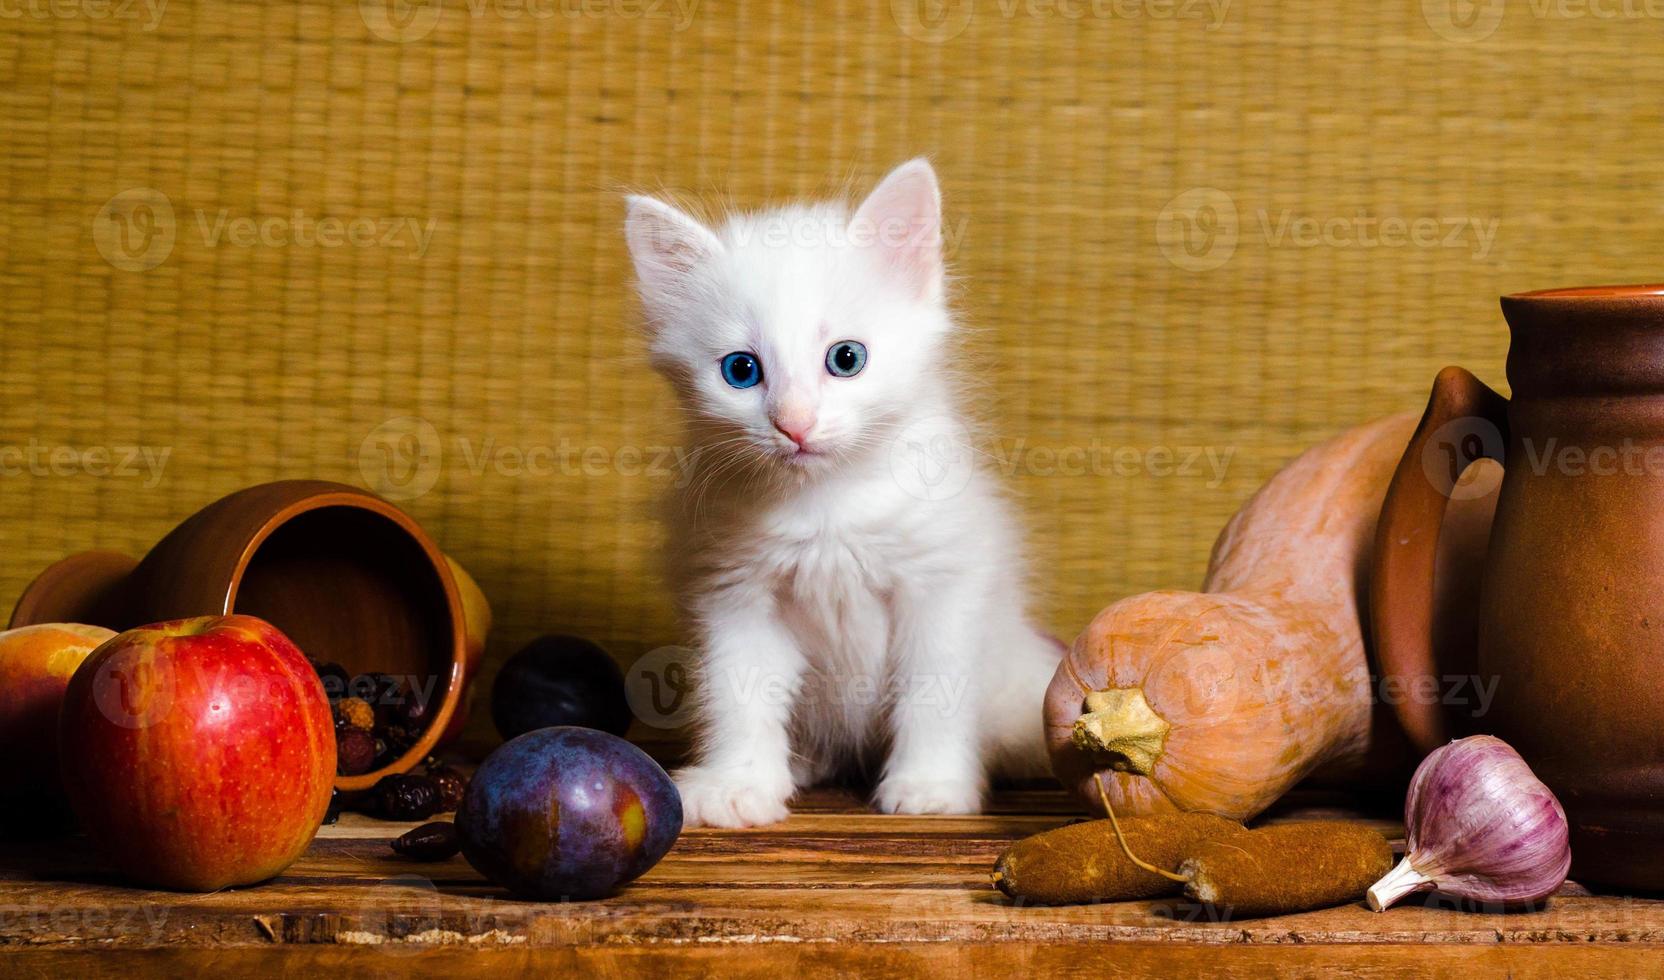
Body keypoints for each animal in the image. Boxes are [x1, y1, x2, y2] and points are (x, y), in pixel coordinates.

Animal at [625, 160, 1064, 825]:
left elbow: (933, 691)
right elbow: (738, 695)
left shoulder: (942, 585)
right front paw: (738, 784)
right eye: (741, 370)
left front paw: (931, 785)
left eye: (846, 359)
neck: (825, 508)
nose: (794, 424)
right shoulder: (736, 594)